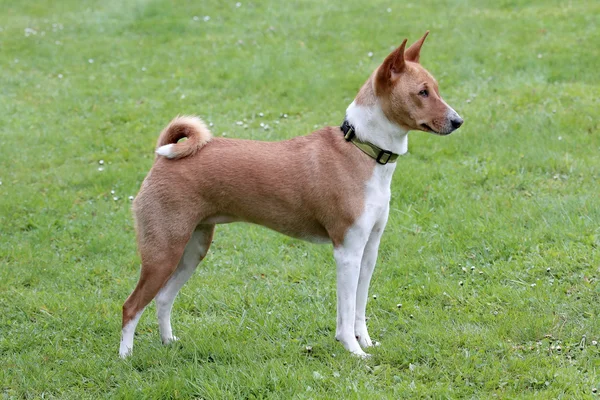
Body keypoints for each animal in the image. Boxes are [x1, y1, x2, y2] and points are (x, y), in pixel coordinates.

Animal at [118, 29, 464, 358]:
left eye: (436, 89)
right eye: (422, 92)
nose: (458, 121)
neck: (362, 150)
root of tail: (162, 158)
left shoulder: (369, 249)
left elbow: (359, 308)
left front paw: (365, 342)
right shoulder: (347, 251)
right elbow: (346, 311)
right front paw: (354, 352)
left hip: (193, 248)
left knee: (163, 298)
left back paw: (168, 342)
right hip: (163, 252)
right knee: (131, 306)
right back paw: (126, 357)